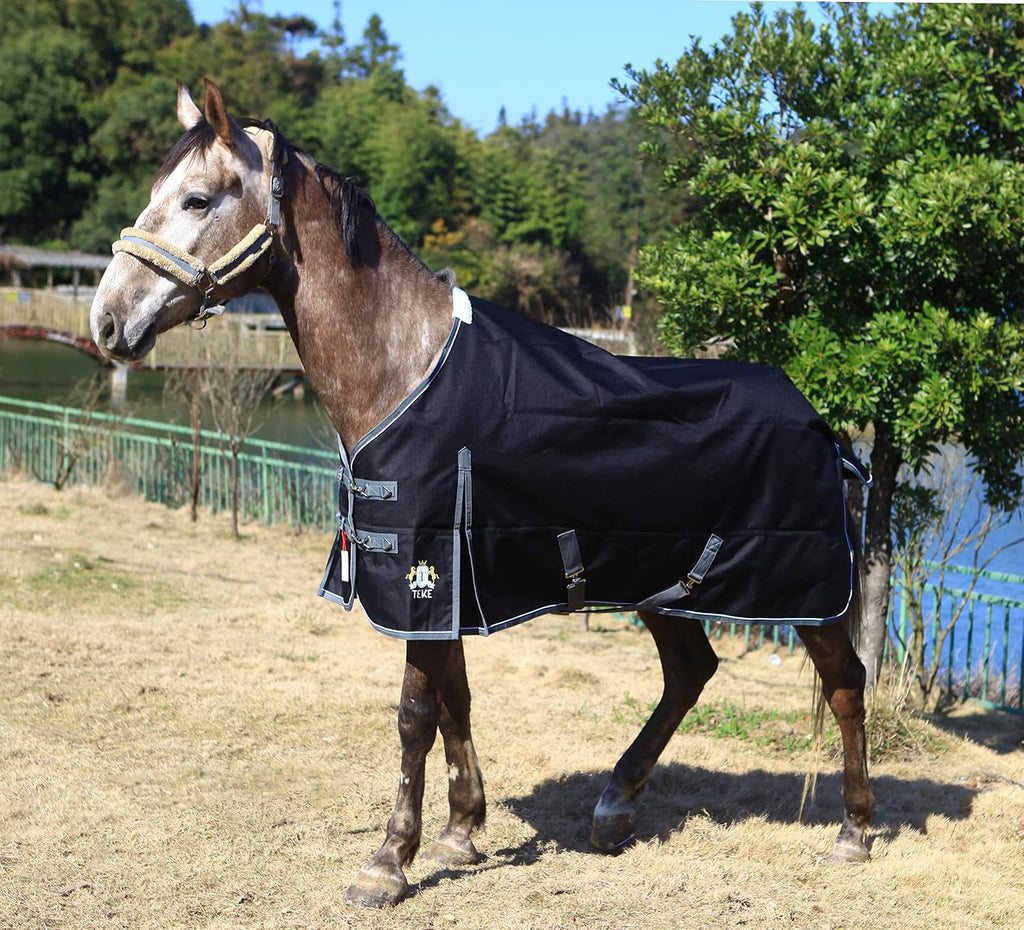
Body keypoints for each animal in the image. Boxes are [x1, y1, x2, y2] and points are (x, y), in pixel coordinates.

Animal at [90, 80, 873, 908]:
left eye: (198, 198)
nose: (107, 320)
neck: (404, 367)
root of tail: (820, 422)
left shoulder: (423, 570)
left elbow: (414, 712)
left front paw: (388, 861)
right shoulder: (446, 583)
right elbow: (455, 698)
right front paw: (462, 830)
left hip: (804, 593)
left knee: (843, 682)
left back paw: (854, 831)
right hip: (665, 585)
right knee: (690, 672)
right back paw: (614, 806)